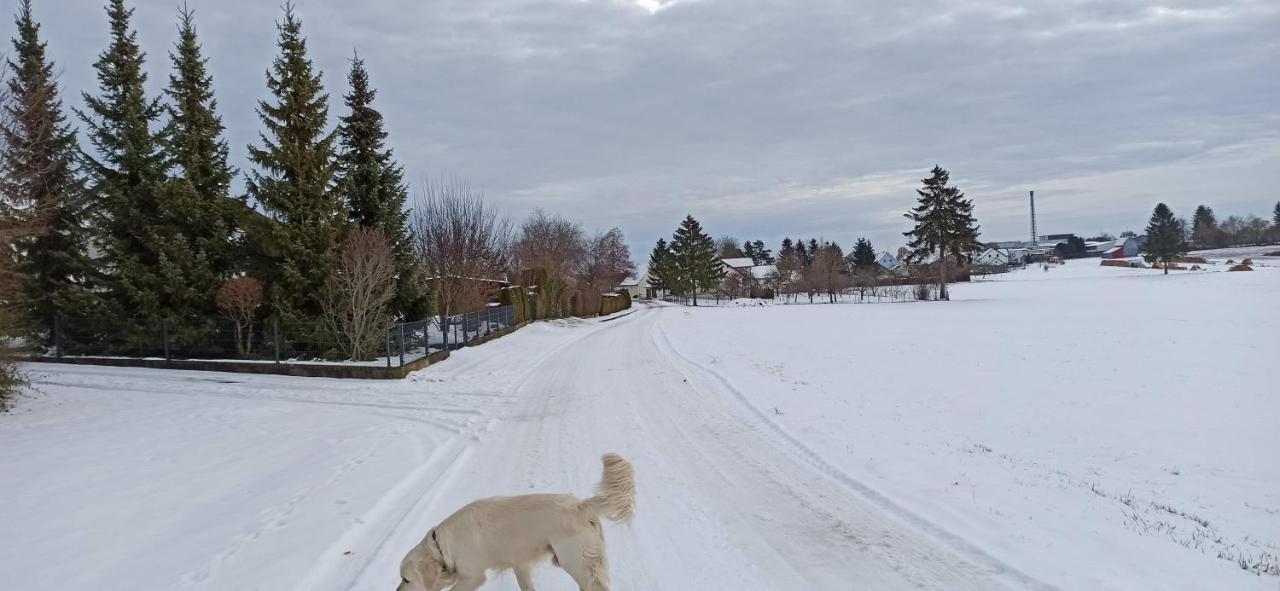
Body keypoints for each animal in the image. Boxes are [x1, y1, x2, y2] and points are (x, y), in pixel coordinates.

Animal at [396, 455, 637, 588]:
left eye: (406, 579)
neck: (442, 546)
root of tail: (581, 505)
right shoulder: (520, 564)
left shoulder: (473, 577)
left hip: (577, 564)